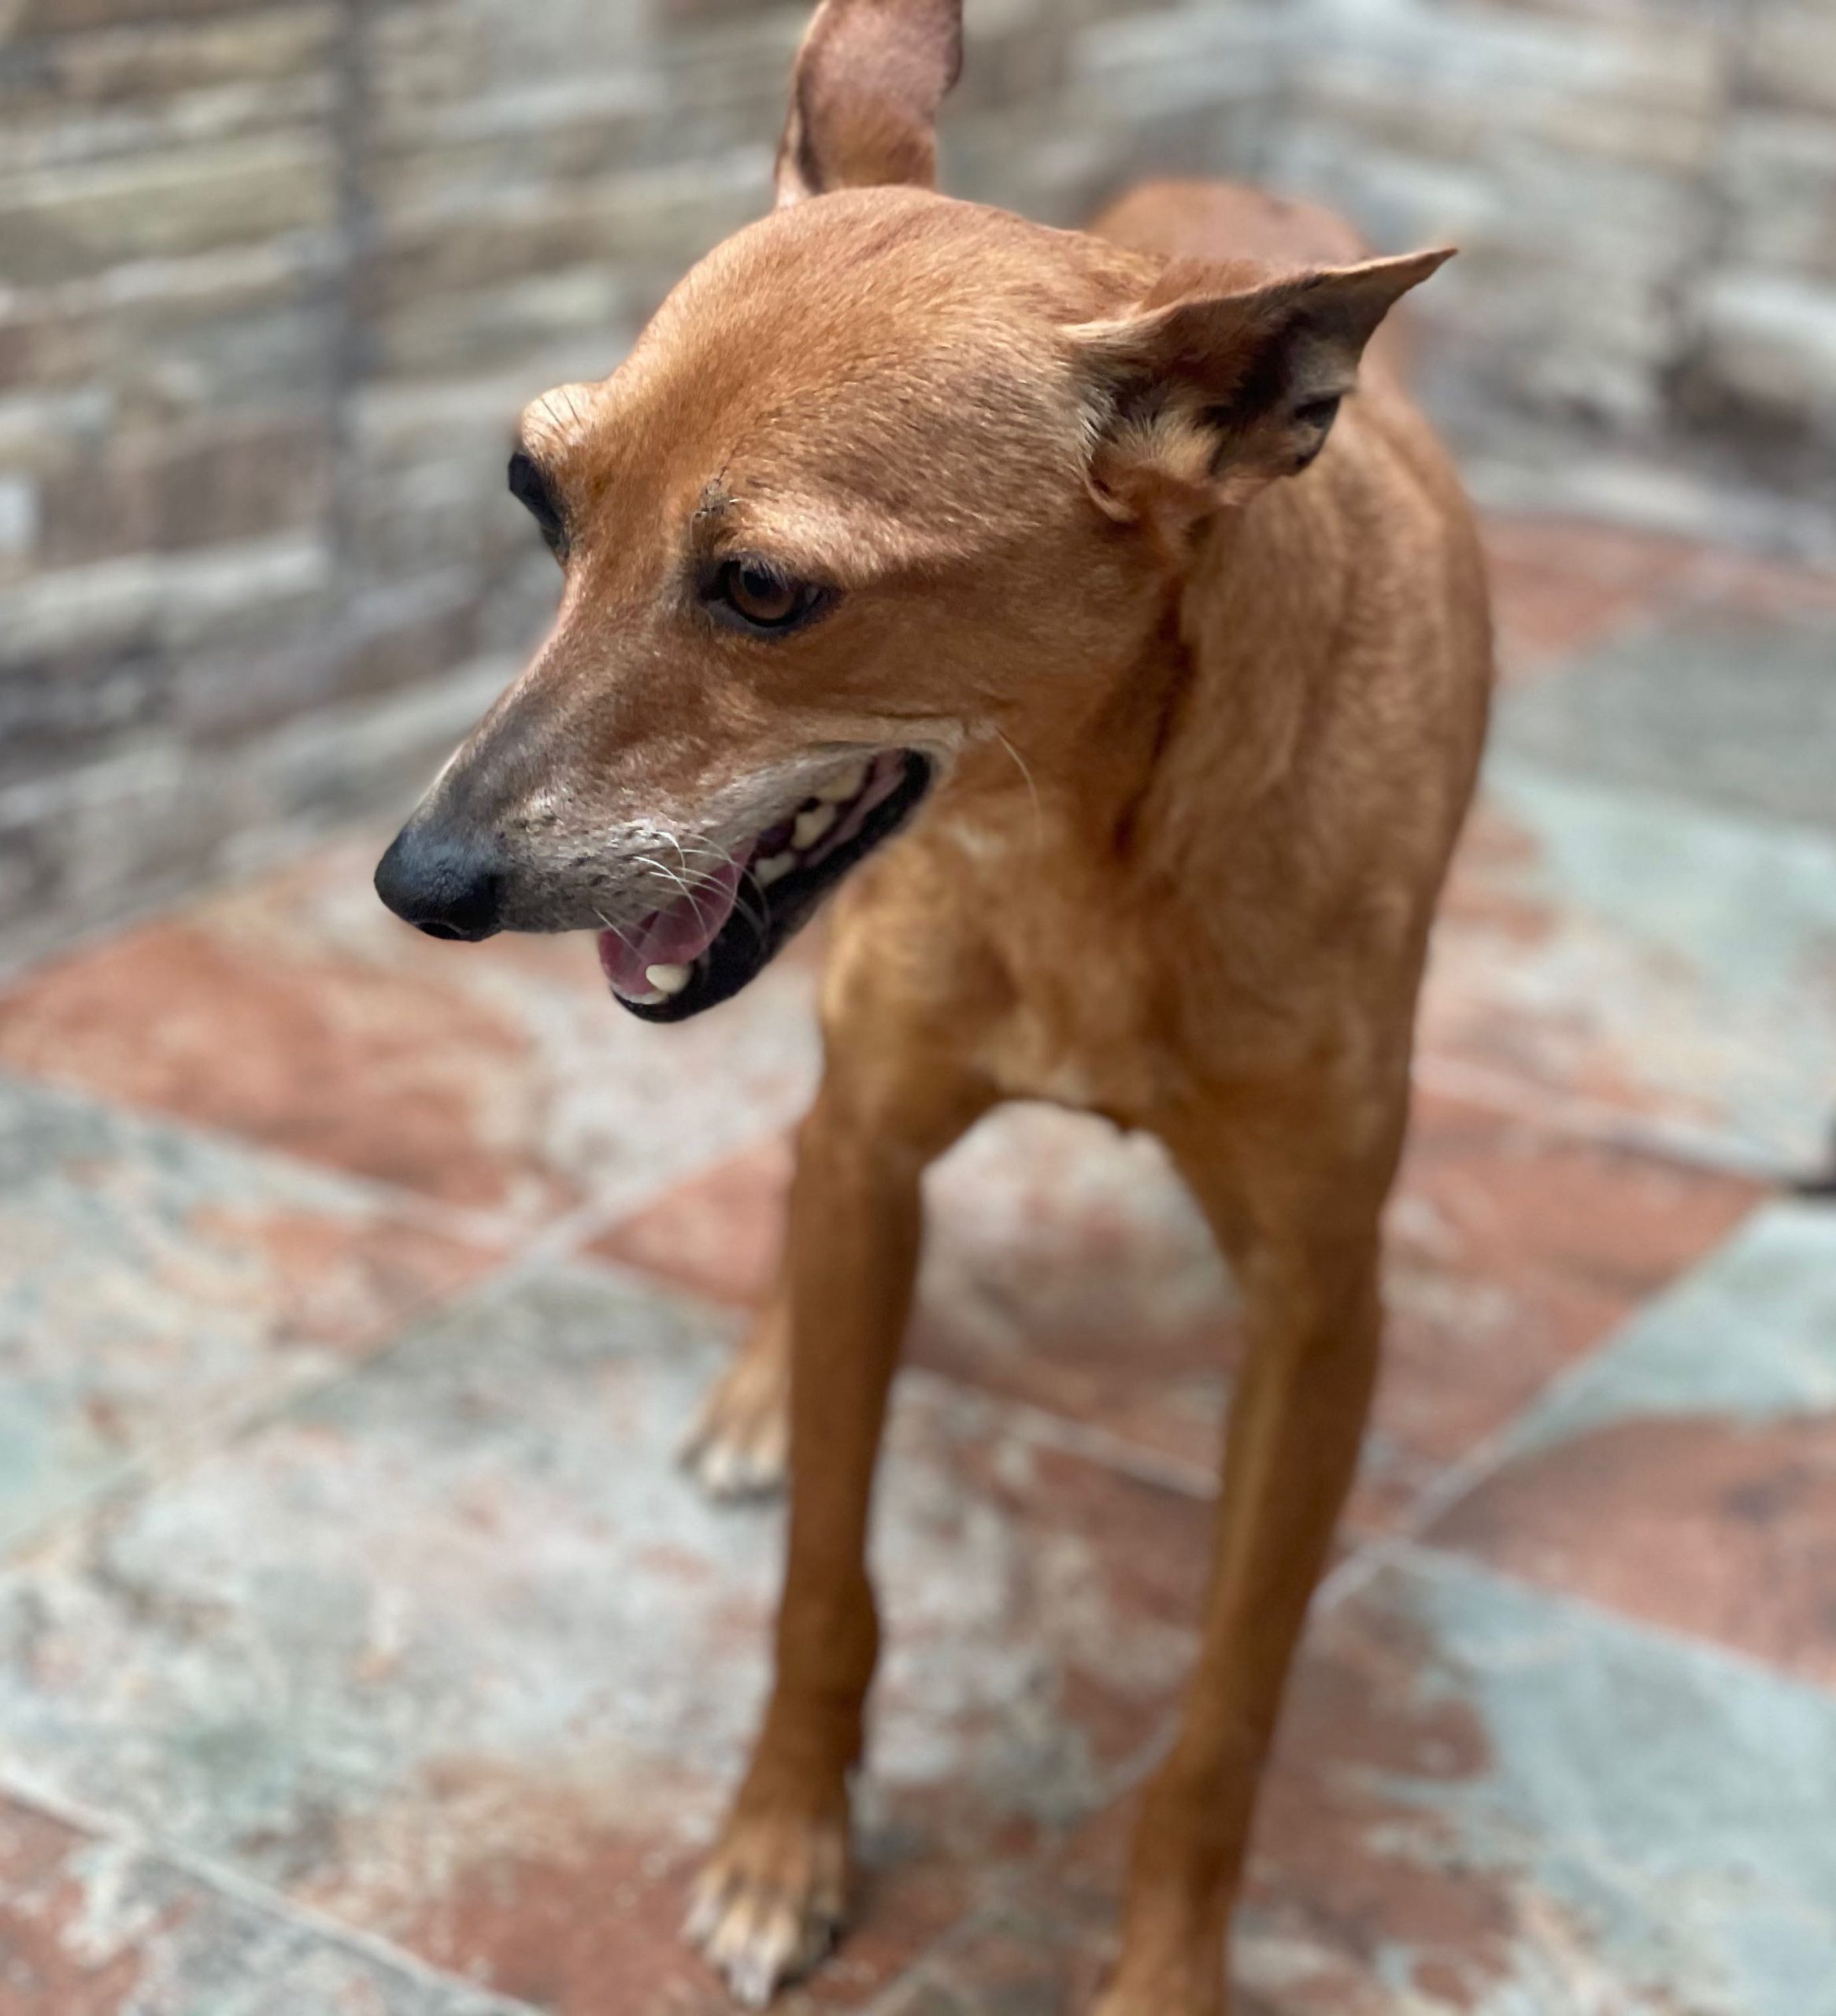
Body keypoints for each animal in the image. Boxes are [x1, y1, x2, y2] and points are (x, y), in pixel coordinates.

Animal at [374, 1, 1492, 2006]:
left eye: (764, 588)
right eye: (536, 493)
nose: (420, 881)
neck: (1083, 855)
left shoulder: (1317, 1311)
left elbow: (1225, 1714)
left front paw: (1163, 1969)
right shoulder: (879, 1156)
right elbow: (825, 1575)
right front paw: (779, 1845)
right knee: (801, 1169)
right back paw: (759, 1382)